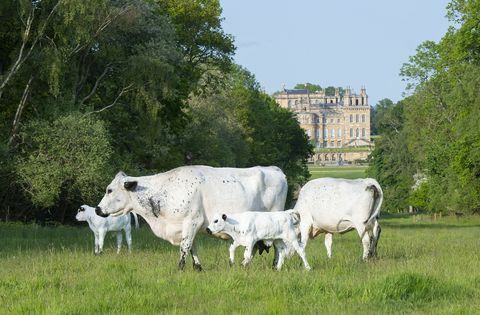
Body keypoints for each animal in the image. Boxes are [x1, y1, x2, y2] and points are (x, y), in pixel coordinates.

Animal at [95, 165, 286, 272]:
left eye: (109, 190)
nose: (97, 209)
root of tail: (274, 169)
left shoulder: (192, 221)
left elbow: (185, 247)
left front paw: (180, 268)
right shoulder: (187, 226)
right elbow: (192, 246)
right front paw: (198, 267)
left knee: (278, 246)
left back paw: (275, 267)